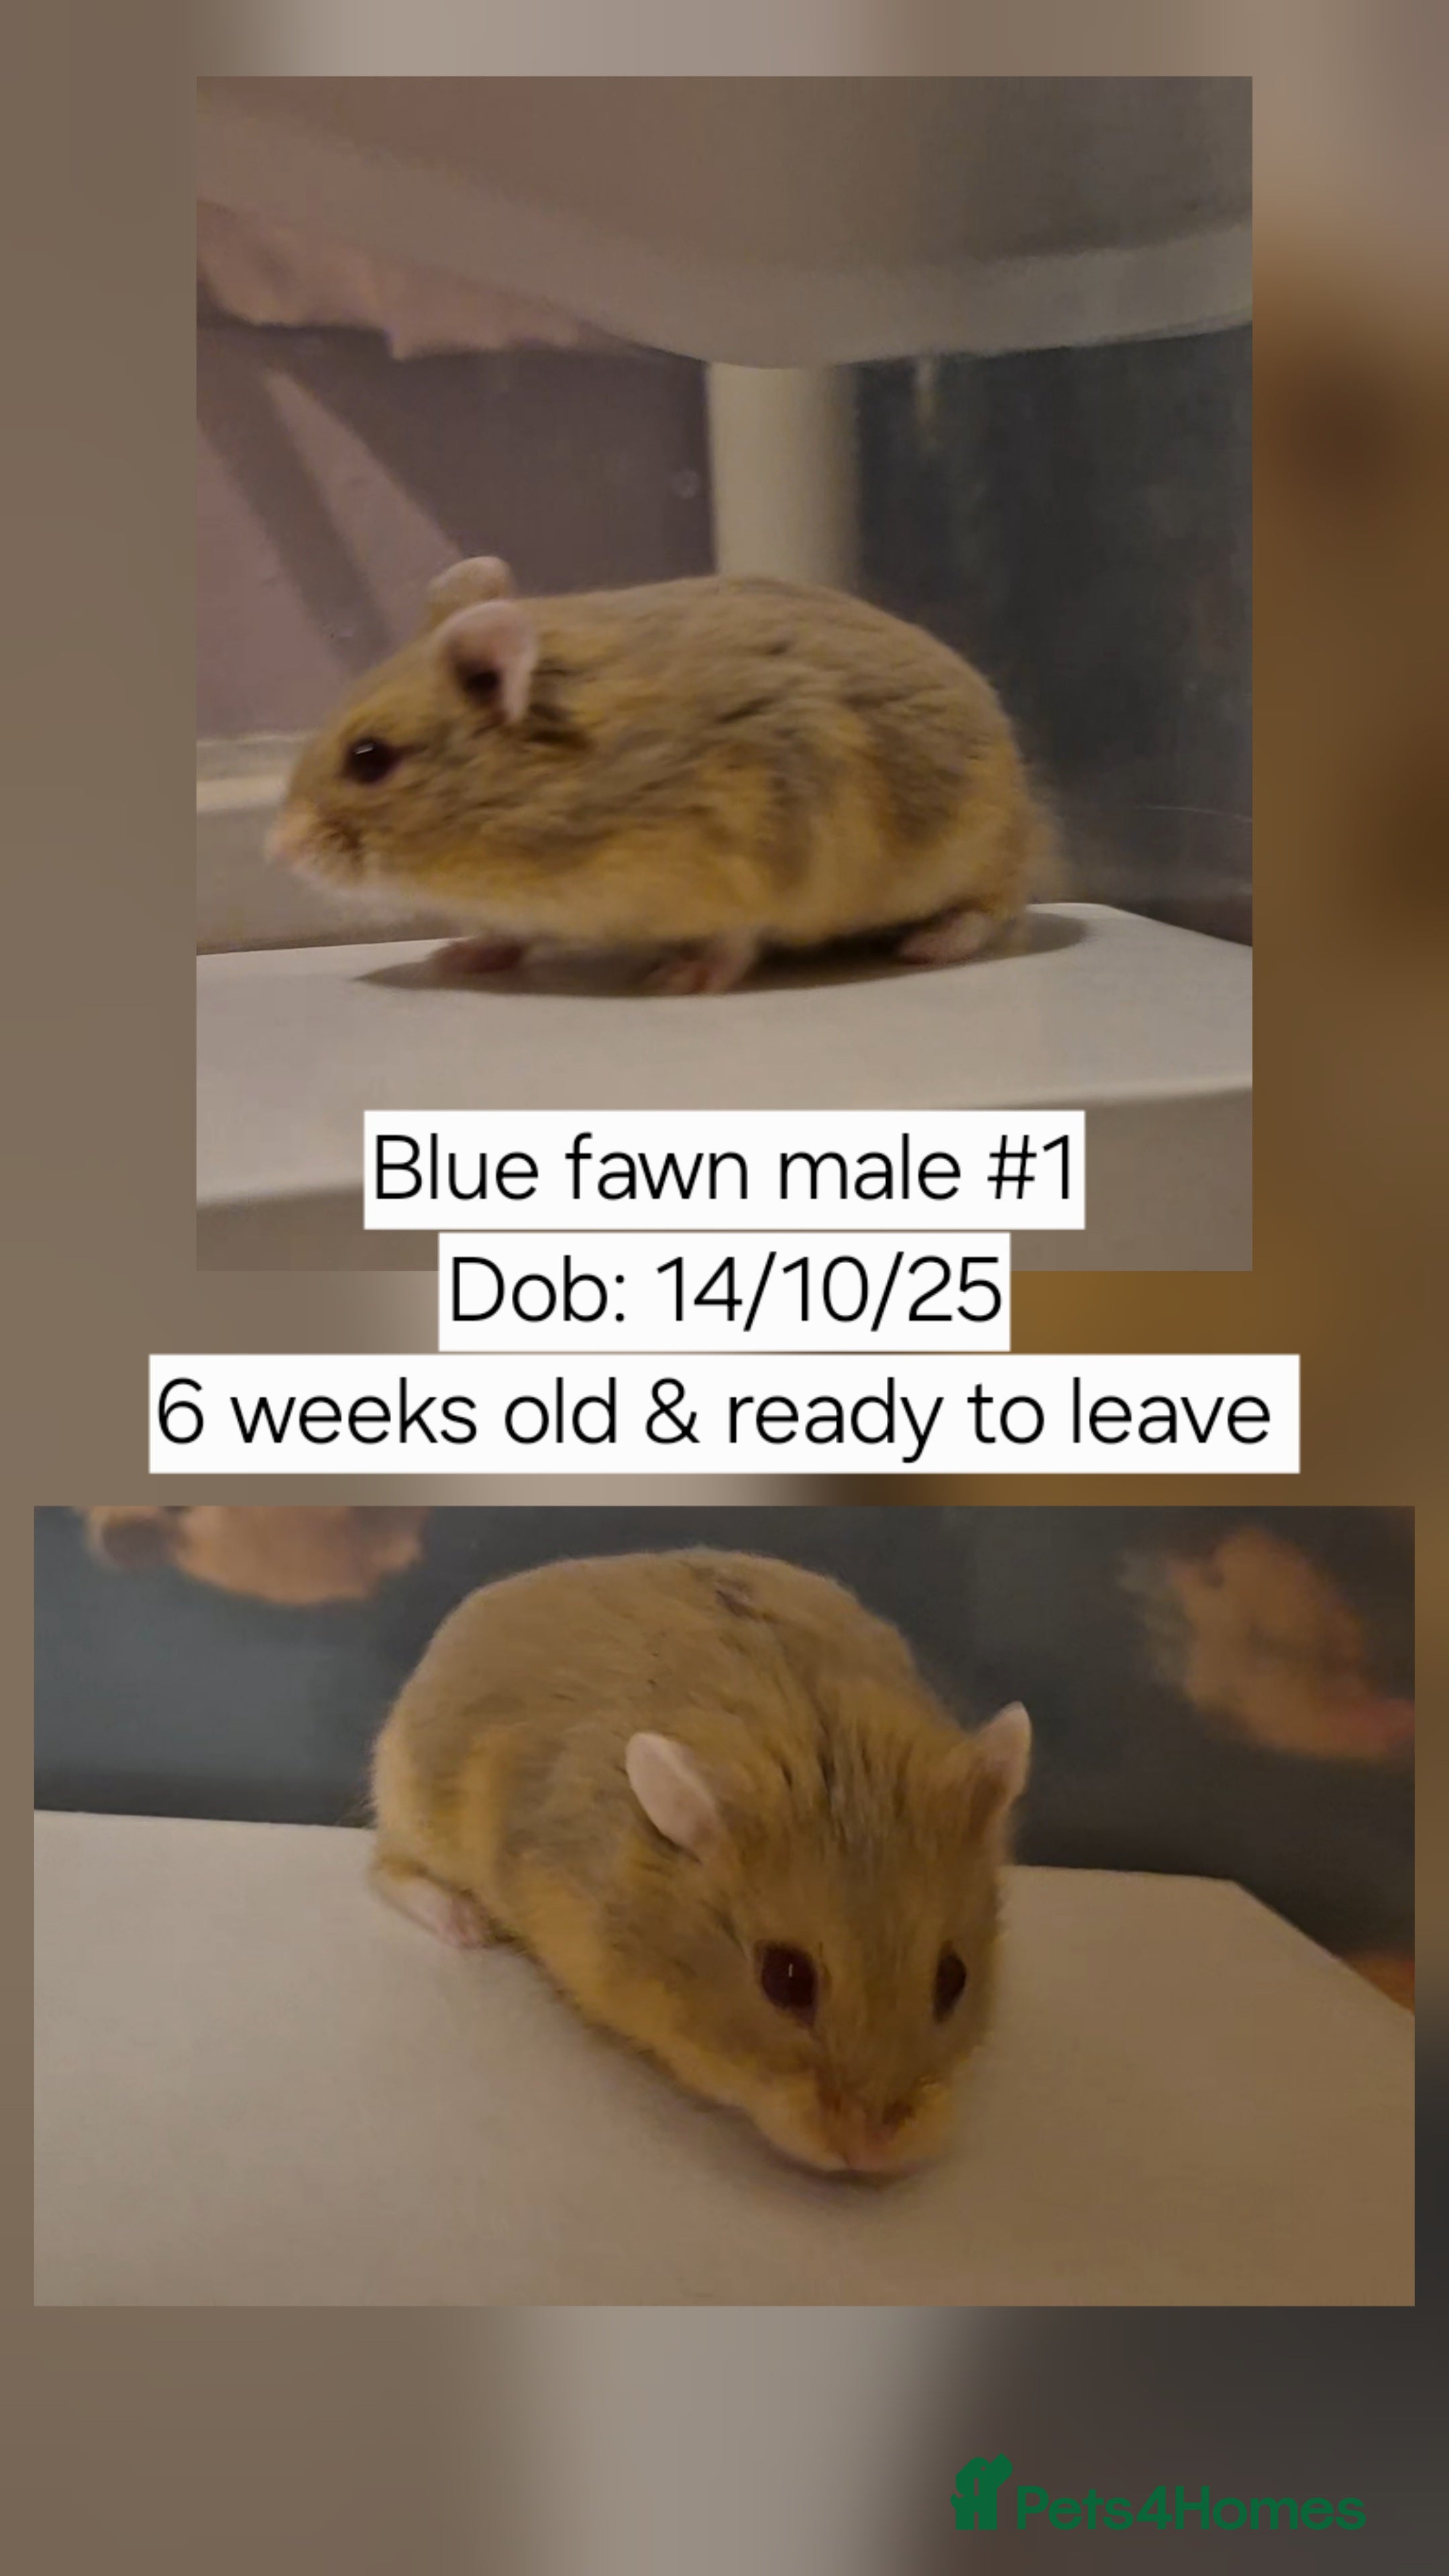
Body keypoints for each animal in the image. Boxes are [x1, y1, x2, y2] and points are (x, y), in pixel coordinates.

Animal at [268, 555, 1052, 994]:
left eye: (370, 758)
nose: (276, 850)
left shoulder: (754, 860)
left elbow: (735, 939)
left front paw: (674, 982)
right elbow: (509, 935)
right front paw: (456, 957)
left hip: (982, 850)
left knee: (995, 909)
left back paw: (925, 945)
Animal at [368, 1548, 1031, 2175]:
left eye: (954, 1978)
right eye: (786, 1979)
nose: (872, 2155)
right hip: (414, 1808)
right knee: (384, 1871)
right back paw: (467, 1927)